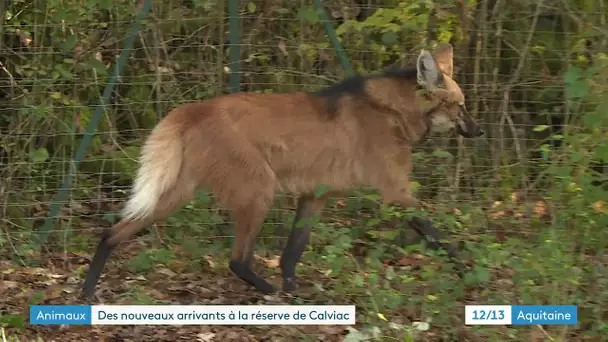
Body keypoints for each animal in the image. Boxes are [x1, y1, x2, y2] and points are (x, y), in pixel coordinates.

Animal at [81, 42, 482, 298]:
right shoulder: (395, 190)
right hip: (259, 187)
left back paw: (86, 293)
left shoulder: (315, 194)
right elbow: (437, 234)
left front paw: (294, 290)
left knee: (114, 231)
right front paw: (470, 273)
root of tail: (193, 108)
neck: (393, 112)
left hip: (178, 192)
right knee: (237, 260)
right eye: (461, 106)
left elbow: (293, 250)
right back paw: (266, 289)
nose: (478, 130)